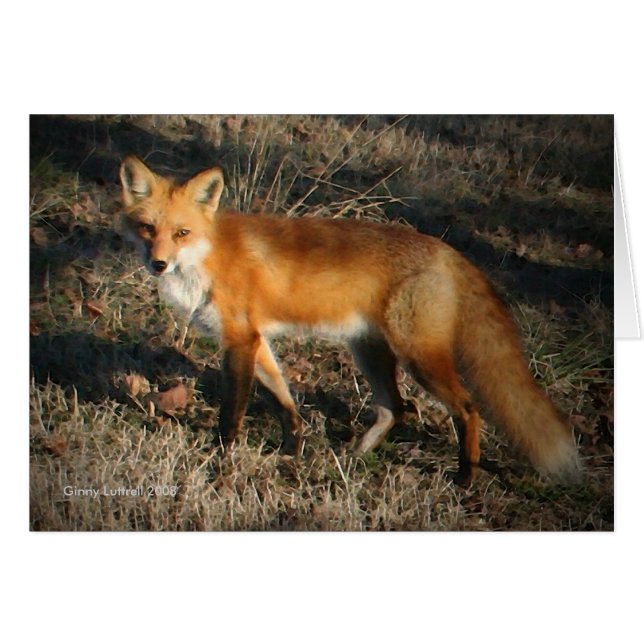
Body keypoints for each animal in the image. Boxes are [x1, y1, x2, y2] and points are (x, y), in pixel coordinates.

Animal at [118, 155, 579, 485]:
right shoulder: (255, 340)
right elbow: (285, 401)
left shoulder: (239, 342)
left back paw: (466, 476)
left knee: (467, 408)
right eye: (146, 229)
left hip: (420, 358)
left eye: (181, 233)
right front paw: (294, 448)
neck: (208, 256)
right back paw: (355, 455)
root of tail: (446, 250)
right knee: (396, 407)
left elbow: (232, 412)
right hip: (369, 352)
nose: (158, 264)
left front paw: (221, 457)